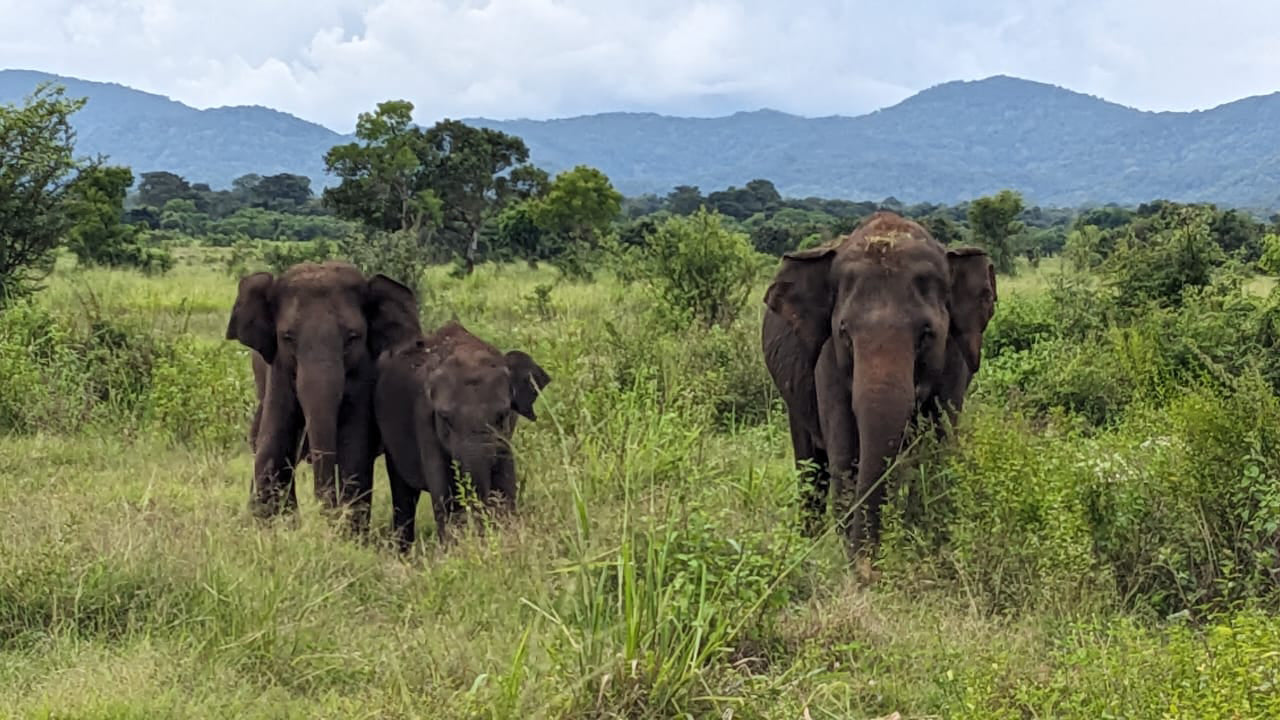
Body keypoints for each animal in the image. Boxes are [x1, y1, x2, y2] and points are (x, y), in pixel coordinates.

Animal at [222, 260, 417, 530]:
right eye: (287, 337)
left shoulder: (363, 375)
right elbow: (273, 444)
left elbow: (354, 451)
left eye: (353, 337)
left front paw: (346, 533)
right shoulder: (277, 372)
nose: (325, 514)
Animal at [373, 319, 547, 548]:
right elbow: (445, 494)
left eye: (501, 415)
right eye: (445, 418)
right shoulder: (424, 420)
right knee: (403, 494)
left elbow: (506, 484)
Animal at [762, 212, 993, 566]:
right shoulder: (827, 360)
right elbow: (846, 456)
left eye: (926, 334)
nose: (868, 570)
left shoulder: (955, 359)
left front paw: (923, 544)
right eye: (844, 333)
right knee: (810, 468)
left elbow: (936, 450)